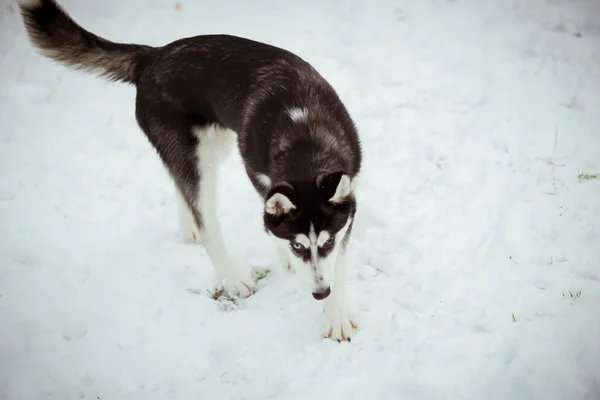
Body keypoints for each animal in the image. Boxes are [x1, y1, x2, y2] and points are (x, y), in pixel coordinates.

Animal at [19, 0, 360, 342]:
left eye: (327, 243)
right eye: (298, 245)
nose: (320, 293)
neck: (303, 135)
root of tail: (152, 56)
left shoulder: (343, 205)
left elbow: (337, 261)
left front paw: (336, 312)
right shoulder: (262, 178)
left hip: (214, 144)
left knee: (181, 184)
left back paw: (188, 227)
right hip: (196, 153)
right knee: (204, 216)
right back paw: (232, 274)